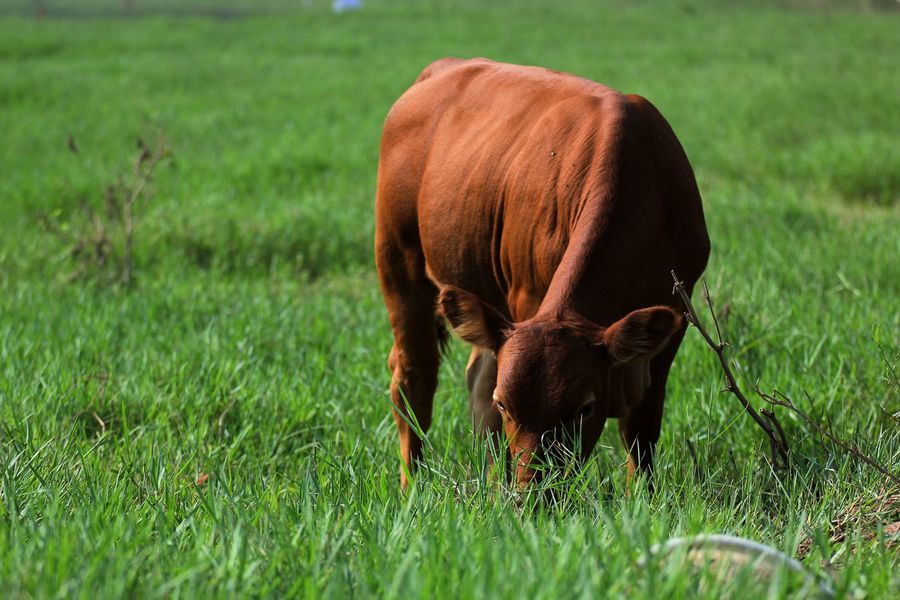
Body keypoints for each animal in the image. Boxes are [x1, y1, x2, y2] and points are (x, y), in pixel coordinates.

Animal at [372, 56, 712, 490]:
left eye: (585, 408)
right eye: (507, 405)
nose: (533, 492)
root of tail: (443, 67)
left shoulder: (674, 317)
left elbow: (641, 427)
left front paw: (644, 495)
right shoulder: (527, 297)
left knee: (477, 379)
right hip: (397, 262)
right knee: (415, 378)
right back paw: (411, 487)